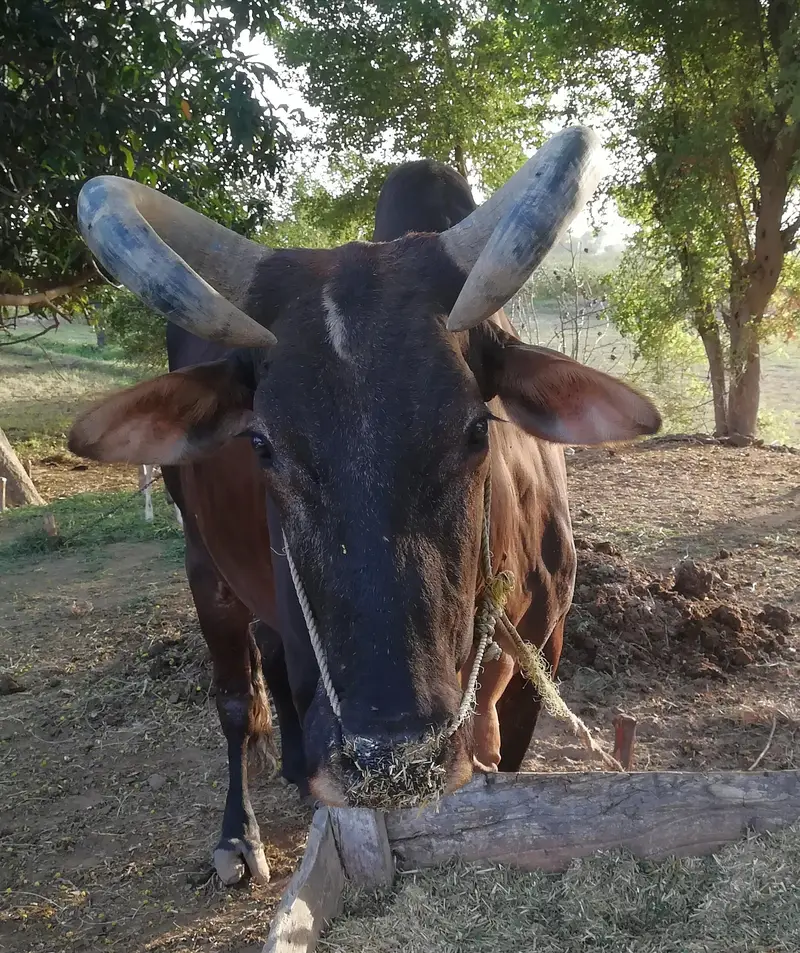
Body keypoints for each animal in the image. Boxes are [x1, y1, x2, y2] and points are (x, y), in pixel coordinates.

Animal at [68, 127, 661, 885]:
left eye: (479, 427)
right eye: (261, 442)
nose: (392, 757)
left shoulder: (543, 649)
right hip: (205, 566)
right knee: (236, 699)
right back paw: (239, 831)